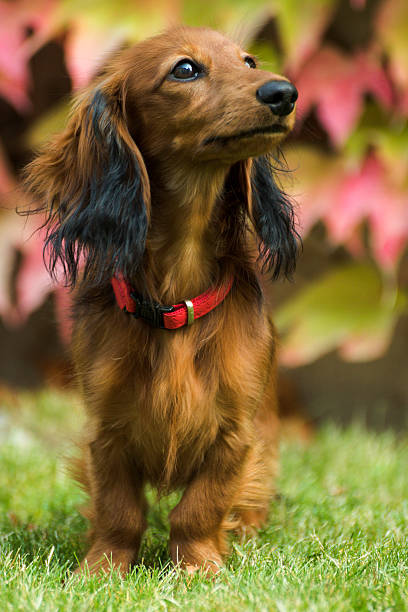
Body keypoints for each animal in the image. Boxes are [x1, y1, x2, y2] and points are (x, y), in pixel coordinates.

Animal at [23, 26, 300, 576]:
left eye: (249, 61)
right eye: (185, 69)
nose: (284, 93)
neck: (178, 296)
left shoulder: (235, 432)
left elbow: (200, 507)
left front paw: (196, 568)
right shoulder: (106, 430)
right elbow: (119, 509)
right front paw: (102, 570)